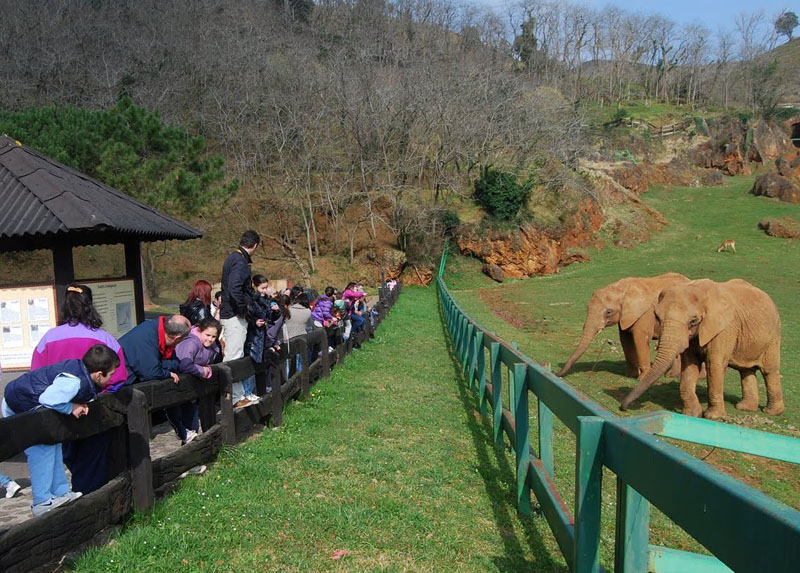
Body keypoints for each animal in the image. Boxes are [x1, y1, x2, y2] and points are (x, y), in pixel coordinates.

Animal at [556, 274, 692, 380]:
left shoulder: (645, 313)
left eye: (609, 312)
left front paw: (641, 378)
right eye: (587, 307)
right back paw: (672, 375)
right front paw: (631, 375)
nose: (557, 374)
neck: (622, 289)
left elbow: (640, 338)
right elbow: (625, 340)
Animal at [620, 278, 784, 418]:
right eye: (658, 318)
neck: (697, 290)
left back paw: (771, 412)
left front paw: (713, 416)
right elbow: (689, 367)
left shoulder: (724, 329)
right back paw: (745, 408)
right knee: (745, 370)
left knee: (769, 370)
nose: (623, 407)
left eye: (693, 321)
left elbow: (714, 366)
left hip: (773, 334)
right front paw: (691, 414)